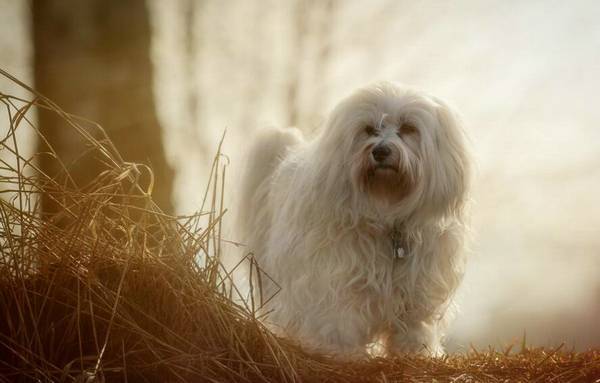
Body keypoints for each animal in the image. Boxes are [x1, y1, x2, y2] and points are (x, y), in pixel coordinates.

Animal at [237, 82, 472, 358]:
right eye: (369, 129)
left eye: (408, 128)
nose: (380, 151)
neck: (386, 210)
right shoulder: (335, 277)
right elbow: (341, 319)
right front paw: (344, 354)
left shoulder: (418, 287)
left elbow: (414, 325)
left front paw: (415, 352)